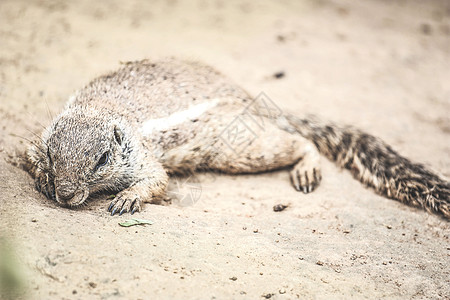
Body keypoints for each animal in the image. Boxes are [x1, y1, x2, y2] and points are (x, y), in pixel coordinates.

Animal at [25, 58, 450, 218]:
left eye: (101, 159)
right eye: (52, 151)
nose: (66, 196)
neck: (100, 111)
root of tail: (253, 101)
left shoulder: (143, 157)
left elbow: (158, 180)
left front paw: (128, 198)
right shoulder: (33, 140)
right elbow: (26, 157)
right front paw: (45, 179)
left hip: (237, 149)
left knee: (301, 143)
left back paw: (306, 169)